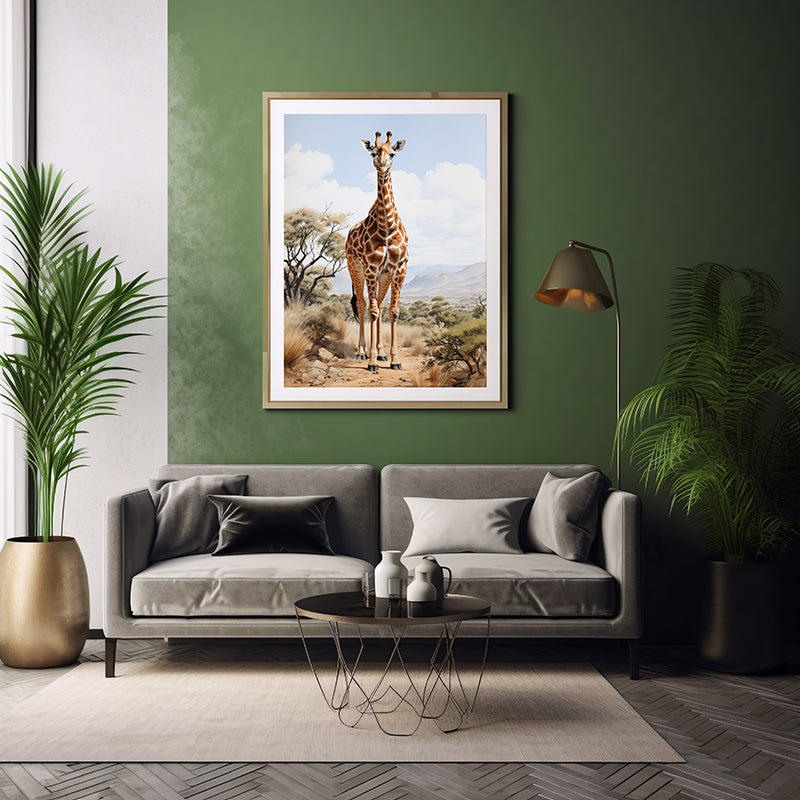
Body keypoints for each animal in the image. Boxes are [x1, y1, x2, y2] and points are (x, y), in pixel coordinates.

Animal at [346, 131, 409, 373]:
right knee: (363, 305)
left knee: (380, 306)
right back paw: (362, 352)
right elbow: (371, 311)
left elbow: (392, 311)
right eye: (373, 153)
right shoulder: (371, 269)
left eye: (392, 154)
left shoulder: (399, 269)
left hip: (384, 276)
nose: (382, 166)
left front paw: (394, 359)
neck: (387, 227)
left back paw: (381, 353)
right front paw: (372, 361)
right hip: (355, 268)